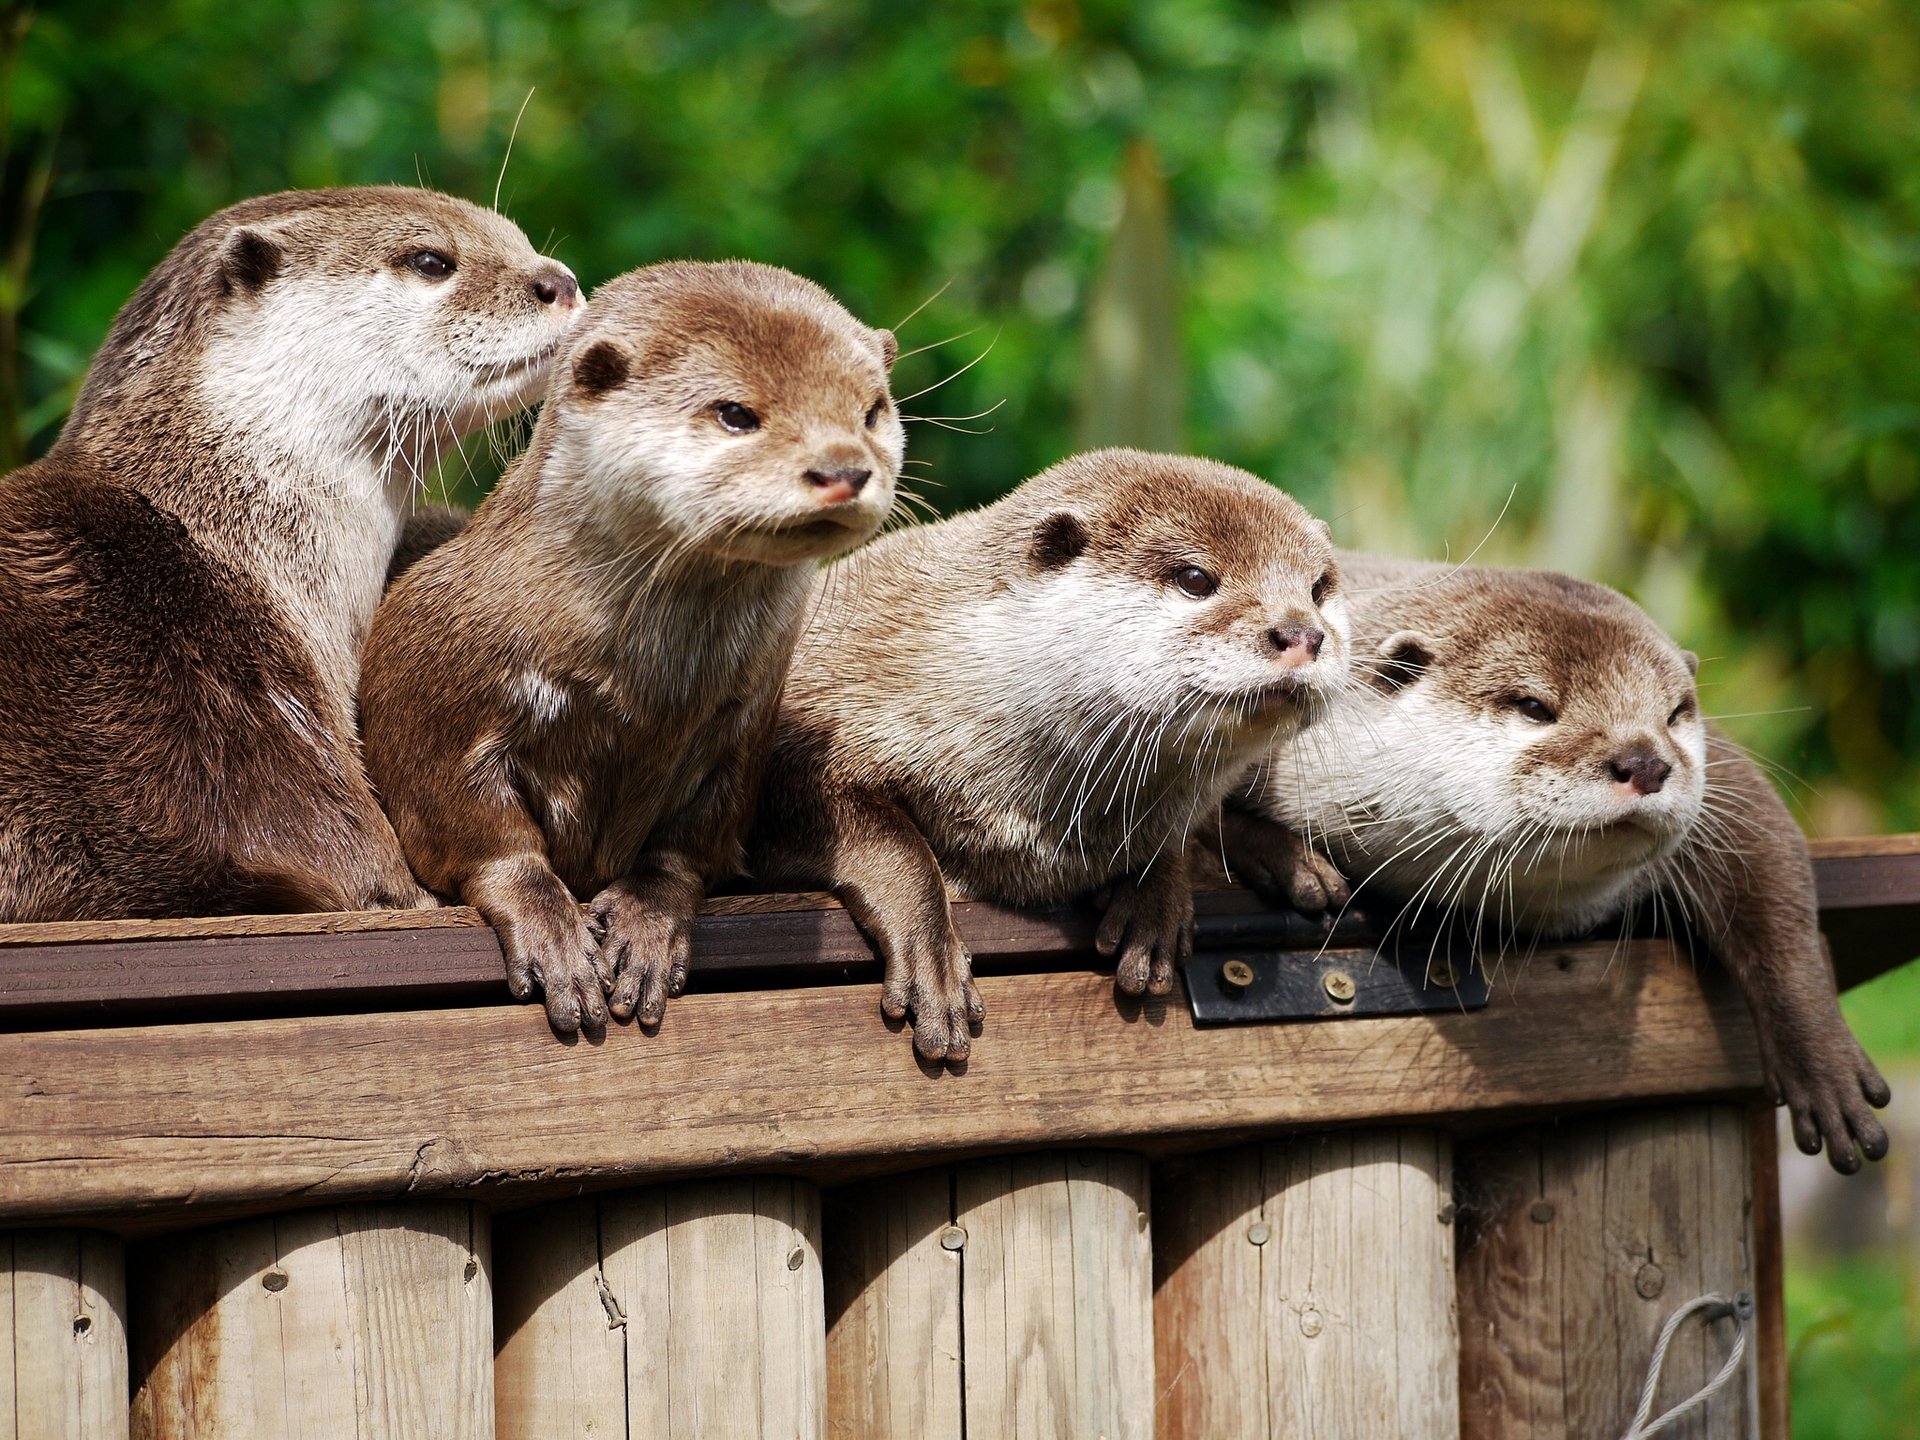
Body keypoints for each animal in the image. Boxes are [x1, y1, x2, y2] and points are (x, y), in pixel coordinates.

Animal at [361, 261, 902, 1034]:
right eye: (735, 413)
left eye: (872, 411)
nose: (843, 469)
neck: (642, 696)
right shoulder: (430, 694)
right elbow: (481, 835)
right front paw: (552, 931)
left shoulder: (744, 723)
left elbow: (692, 843)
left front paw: (649, 922)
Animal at [749, 449, 1348, 1062]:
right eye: (1195, 578)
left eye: (1319, 587)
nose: (1302, 633)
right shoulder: (811, 721)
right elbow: (888, 841)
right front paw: (933, 960)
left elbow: (1176, 835)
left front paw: (1154, 900)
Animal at [1230, 554, 1890, 1172]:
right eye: (1533, 706)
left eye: (1676, 713)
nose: (1646, 761)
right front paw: (1292, 863)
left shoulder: (1724, 781)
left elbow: (1770, 867)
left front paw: (1826, 1065)